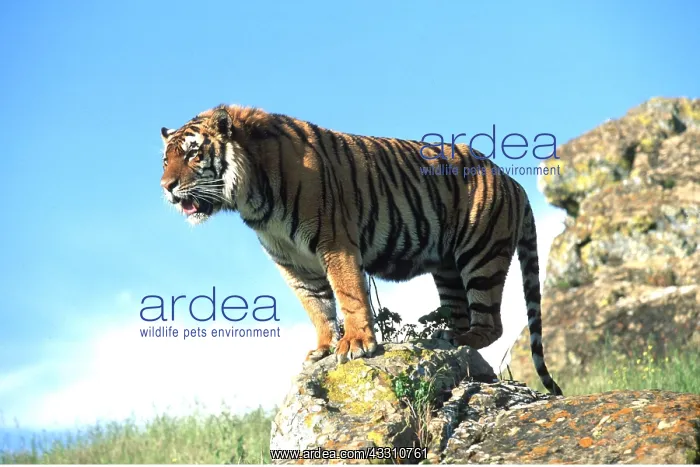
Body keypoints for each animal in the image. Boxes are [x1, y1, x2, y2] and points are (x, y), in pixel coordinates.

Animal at [159, 104, 563, 396]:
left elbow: (348, 293)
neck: (252, 197)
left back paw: (461, 339)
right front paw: (322, 348)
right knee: (463, 315)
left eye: (194, 155)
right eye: (166, 160)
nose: (166, 186)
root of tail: (512, 180)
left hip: (481, 255)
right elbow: (317, 307)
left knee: (491, 324)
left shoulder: (334, 241)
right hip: (447, 267)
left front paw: (355, 344)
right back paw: (447, 338)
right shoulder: (292, 262)